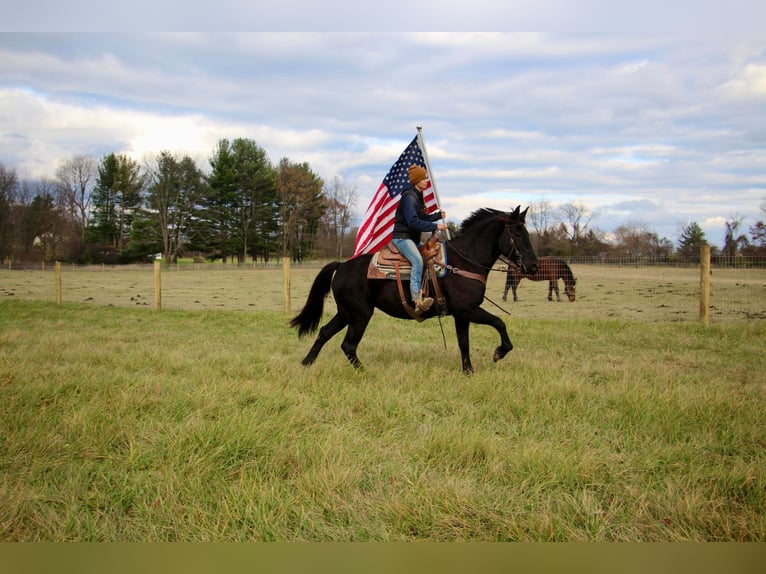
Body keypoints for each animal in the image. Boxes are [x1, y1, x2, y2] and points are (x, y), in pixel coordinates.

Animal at [290, 206, 540, 374]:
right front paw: (499, 352)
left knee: (324, 333)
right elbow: (499, 322)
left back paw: (306, 364)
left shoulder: (461, 315)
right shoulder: (468, 309)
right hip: (360, 315)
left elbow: (464, 343)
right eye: (517, 233)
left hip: (346, 313)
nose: (534, 266)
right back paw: (365, 373)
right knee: (348, 345)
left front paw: (468, 372)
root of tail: (342, 266)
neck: (464, 261)